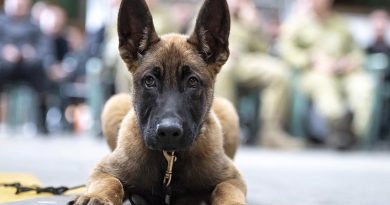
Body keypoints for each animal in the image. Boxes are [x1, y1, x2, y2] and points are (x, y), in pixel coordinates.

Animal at [70, 0, 247, 204]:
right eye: (150, 81)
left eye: (192, 82)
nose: (168, 131)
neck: (169, 159)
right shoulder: (103, 170)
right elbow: (110, 182)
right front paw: (96, 196)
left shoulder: (233, 179)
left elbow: (225, 189)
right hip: (113, 104)